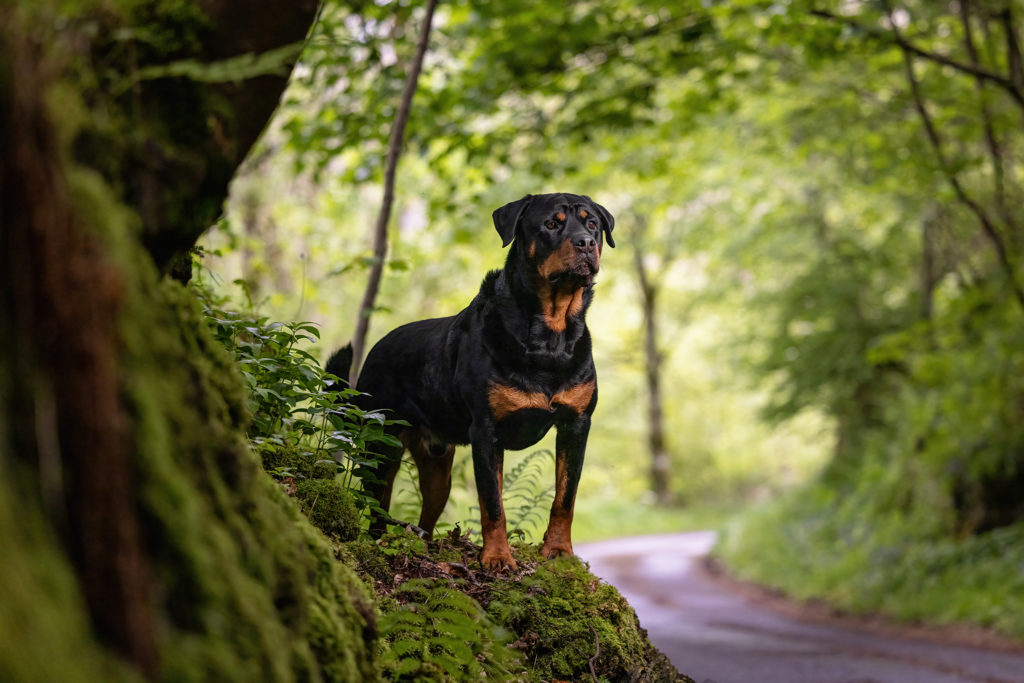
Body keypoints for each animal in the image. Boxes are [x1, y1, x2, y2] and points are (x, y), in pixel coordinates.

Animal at [329, 193, 614, 573]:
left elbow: (565, 497)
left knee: (428, 512)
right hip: (381, 442)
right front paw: (496, 557)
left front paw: (558, 551)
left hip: (437, 465)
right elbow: (492, 503)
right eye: (552, 224)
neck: (550, 334)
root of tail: (376, 349)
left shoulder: (576, 424)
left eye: (592, 223)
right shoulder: (486, 431)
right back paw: (381, 541)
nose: (585, 242)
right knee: (377, 502)